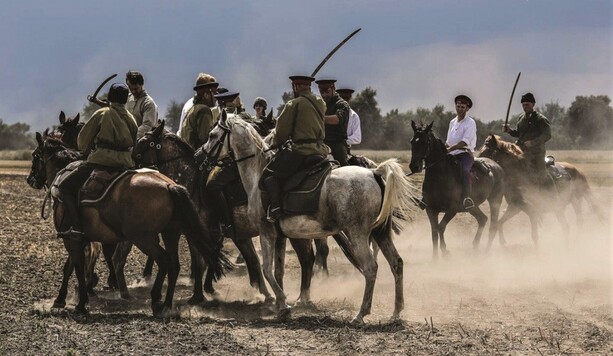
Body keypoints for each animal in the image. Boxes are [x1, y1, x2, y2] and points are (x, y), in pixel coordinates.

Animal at [27, 134, 231, 314]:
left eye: (35, 155)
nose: (30, 179)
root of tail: (169, 185)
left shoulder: (70, 238)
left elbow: (75, 266)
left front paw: (80, 303)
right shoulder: (79, 239)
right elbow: (70, 266)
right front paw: (61, 299)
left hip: (142, 238)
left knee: (164, 260)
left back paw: (157, 299)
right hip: (170, 233)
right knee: (174, 264)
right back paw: (167, 303)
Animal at [408, 121, 504, 258]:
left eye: (425, 142)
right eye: (412, 141)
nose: (414, 166)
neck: (439, 176)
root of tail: (496, 166)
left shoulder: (452, 209)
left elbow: (441, 227)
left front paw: (445, 251)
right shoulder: (430, 209)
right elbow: (434, 232)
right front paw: (435, 258)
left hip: (495, 201)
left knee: (493, 225)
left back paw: (486, 252)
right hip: (472, 207)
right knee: (482, 219)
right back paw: (475, 246)